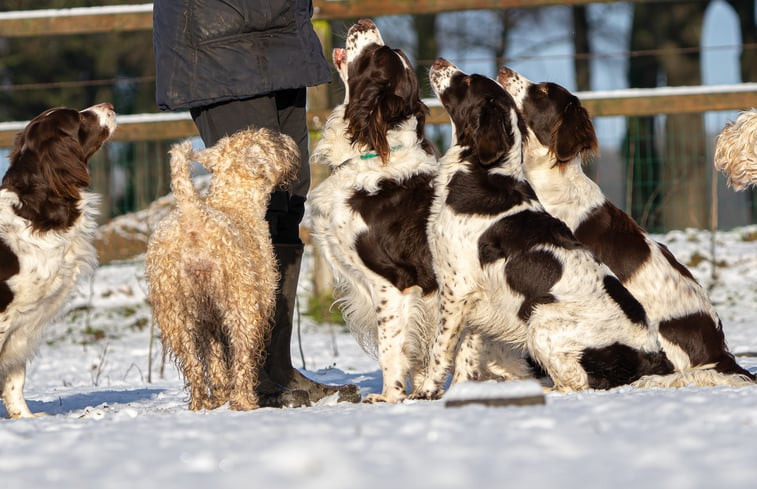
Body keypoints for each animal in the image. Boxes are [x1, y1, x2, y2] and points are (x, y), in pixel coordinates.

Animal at [146, 126, 300, 408]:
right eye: (270, 141)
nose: (288, 139)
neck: (238, 204)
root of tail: (193, 216)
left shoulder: (209, 319)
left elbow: (215, 358)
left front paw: (219, 395)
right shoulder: (255, 300)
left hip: (174, 309)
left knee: (193, 364)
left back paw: (201, 403)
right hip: (241, 302)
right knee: (242, 353)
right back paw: (245, 401)